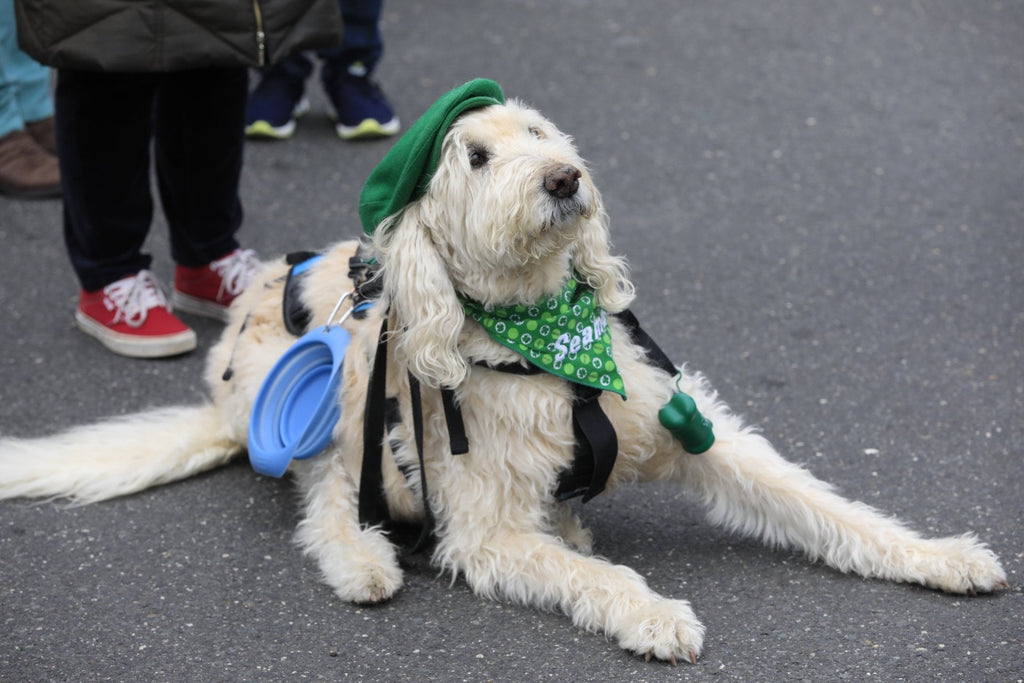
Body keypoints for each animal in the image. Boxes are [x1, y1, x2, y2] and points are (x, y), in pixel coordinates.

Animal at [0, 82, 1007, 663]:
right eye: (475, 157)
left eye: (536, 131)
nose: (564, 179)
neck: (545, 340)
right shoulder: (482, 528)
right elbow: (592, 578)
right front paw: (652, 614)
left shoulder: (691, 427)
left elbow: (822, 503)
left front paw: (940, 554)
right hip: (331, 411)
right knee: (325, 500)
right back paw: (363, 559)